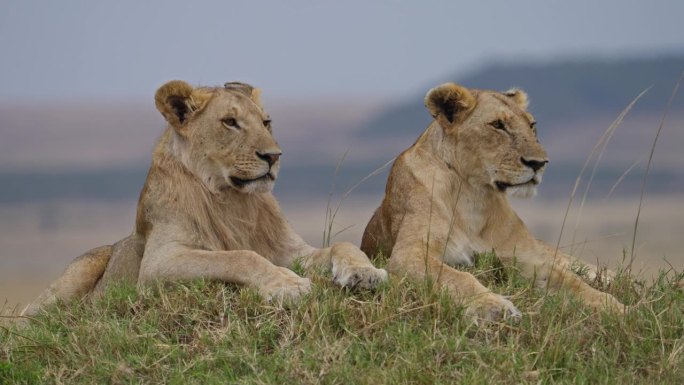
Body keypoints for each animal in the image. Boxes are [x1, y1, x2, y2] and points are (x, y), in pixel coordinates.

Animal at [24, 79, 388, 316]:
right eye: (230, 122)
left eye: (266, 121)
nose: (274, 156)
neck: (234, 200)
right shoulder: (158, 263)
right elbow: (239, 256)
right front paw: (287, 284)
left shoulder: (290, 251)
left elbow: (342, 245)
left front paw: (364, 272)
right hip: (78, 272)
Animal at [364, 82, 624, 320]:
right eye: (498, 125)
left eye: (532, 125)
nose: (539, 163)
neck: (474, 195)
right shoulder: (408, 253)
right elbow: (458, 277)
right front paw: (494, 307)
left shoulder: (528, 257)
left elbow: (573, 283)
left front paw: (619, 309)